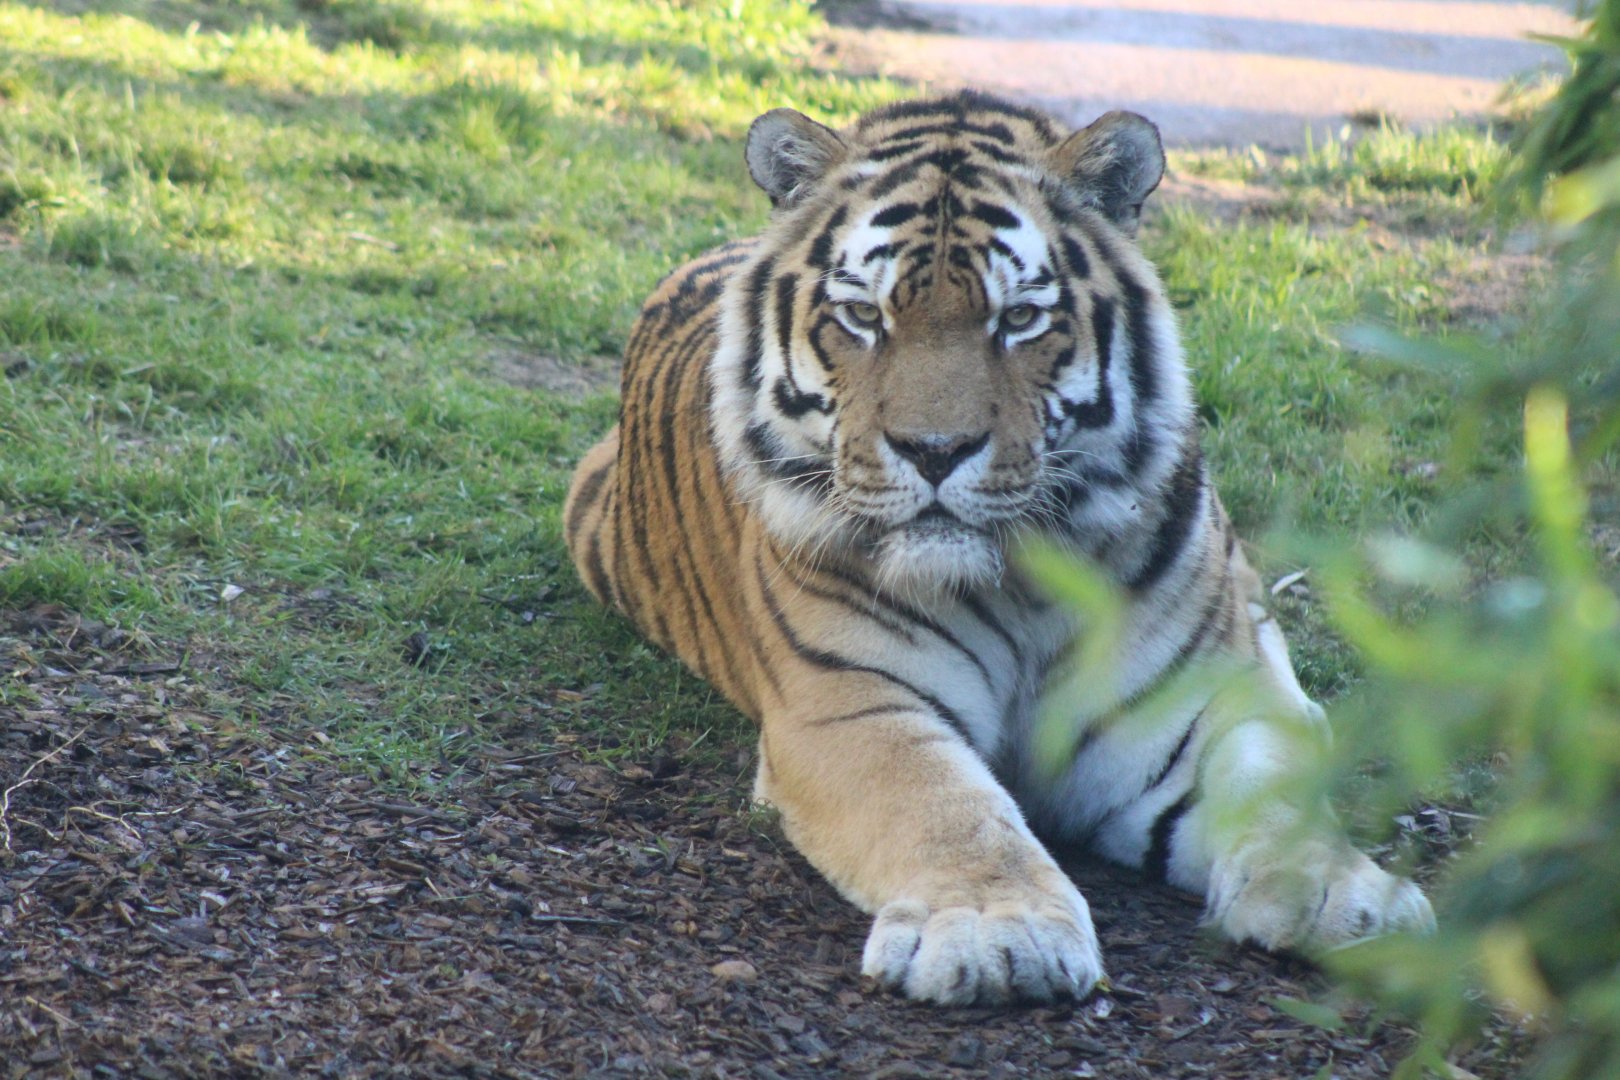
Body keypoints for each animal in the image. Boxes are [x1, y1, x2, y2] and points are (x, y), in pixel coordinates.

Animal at [563, 90, 1434, 1006]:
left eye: (1018, 319)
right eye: (864, 317)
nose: (935, 450)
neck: (1022, 580)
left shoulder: (1213, 693)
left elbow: (1277, 788)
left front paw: (1347, 899)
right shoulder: (852, 703)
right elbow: (946, 810)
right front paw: (998, 933)